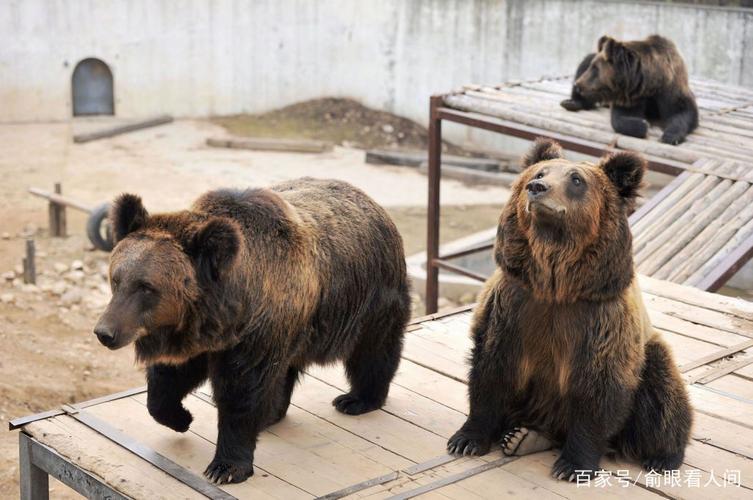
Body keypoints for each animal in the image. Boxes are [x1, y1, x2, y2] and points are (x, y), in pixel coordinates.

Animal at [93, 178, 411, 484]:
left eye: (146, 287)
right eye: (116, 279)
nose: (105, 332)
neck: (227, 311)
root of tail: (372, 202)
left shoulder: (255, 334)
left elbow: (241, 393)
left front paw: (226, 466)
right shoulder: (199, 337)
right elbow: (167, 382)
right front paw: (181, 418)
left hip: (371, 297)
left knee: (374, 349)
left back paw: (357, 399)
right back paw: (273, 414)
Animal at [446, 139, 692, 481]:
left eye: (576, 179)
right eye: (539, 172)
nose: (537, 188)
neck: (556, 286)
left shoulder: (598, 318)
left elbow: (598, 387)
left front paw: (573, 465)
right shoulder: (514, 306)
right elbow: (492, 368)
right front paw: (466, 439)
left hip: (649, 355)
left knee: (662, 393)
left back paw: (663, 456)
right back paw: (522, 436)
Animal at [560, 34, 698, 145]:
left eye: (595, 68)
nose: (578, 85)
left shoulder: (670, 85)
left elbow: (682, 110)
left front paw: (669, 136)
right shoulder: (631, 95)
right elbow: (621, 117)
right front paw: (643, 124)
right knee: (585, 60)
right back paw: (572, 102)